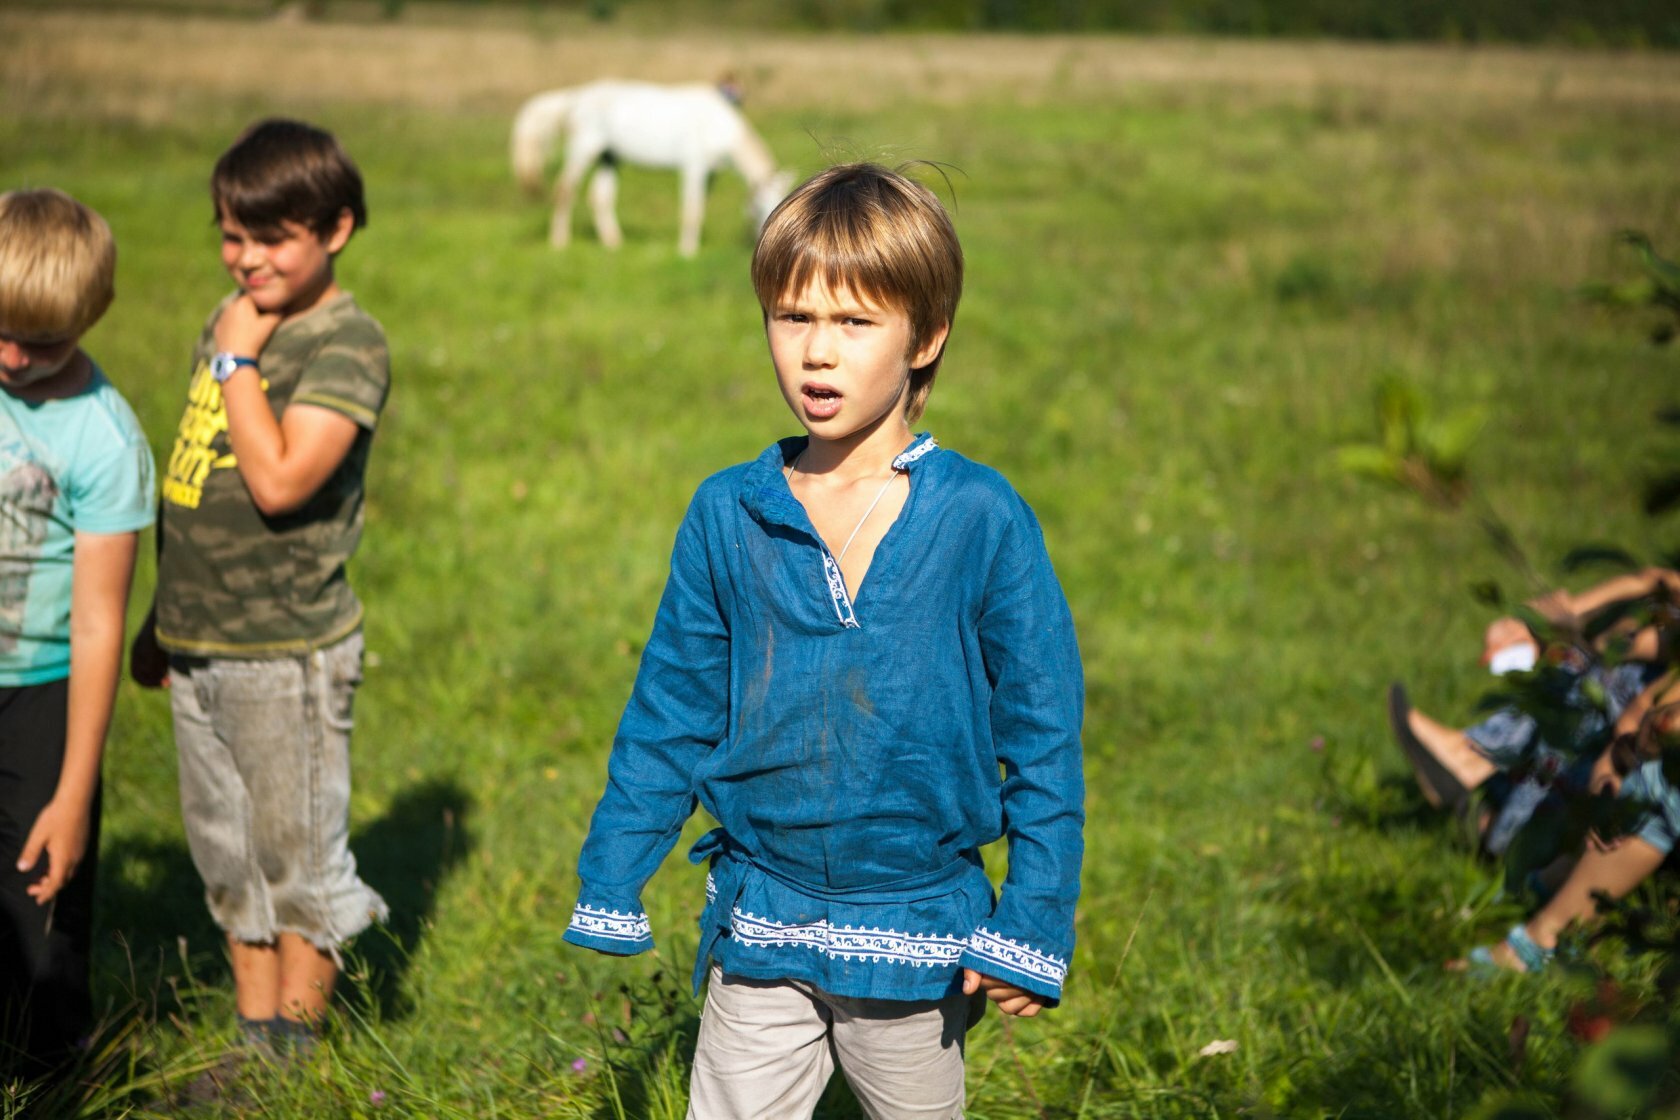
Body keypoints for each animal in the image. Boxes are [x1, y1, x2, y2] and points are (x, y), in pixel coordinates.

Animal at [510, 82, 792, 260]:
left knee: (600, 197)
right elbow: (691, 210)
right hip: (584, 149)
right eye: (758, 206)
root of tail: (576, 97)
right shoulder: (694, 167)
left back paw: (614, 244)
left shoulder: (710, 175)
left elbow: (700, 209)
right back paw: (559, 242)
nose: (773, 242)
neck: (720, 128)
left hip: (608, 158)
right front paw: (687, 252)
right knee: (565, 190)